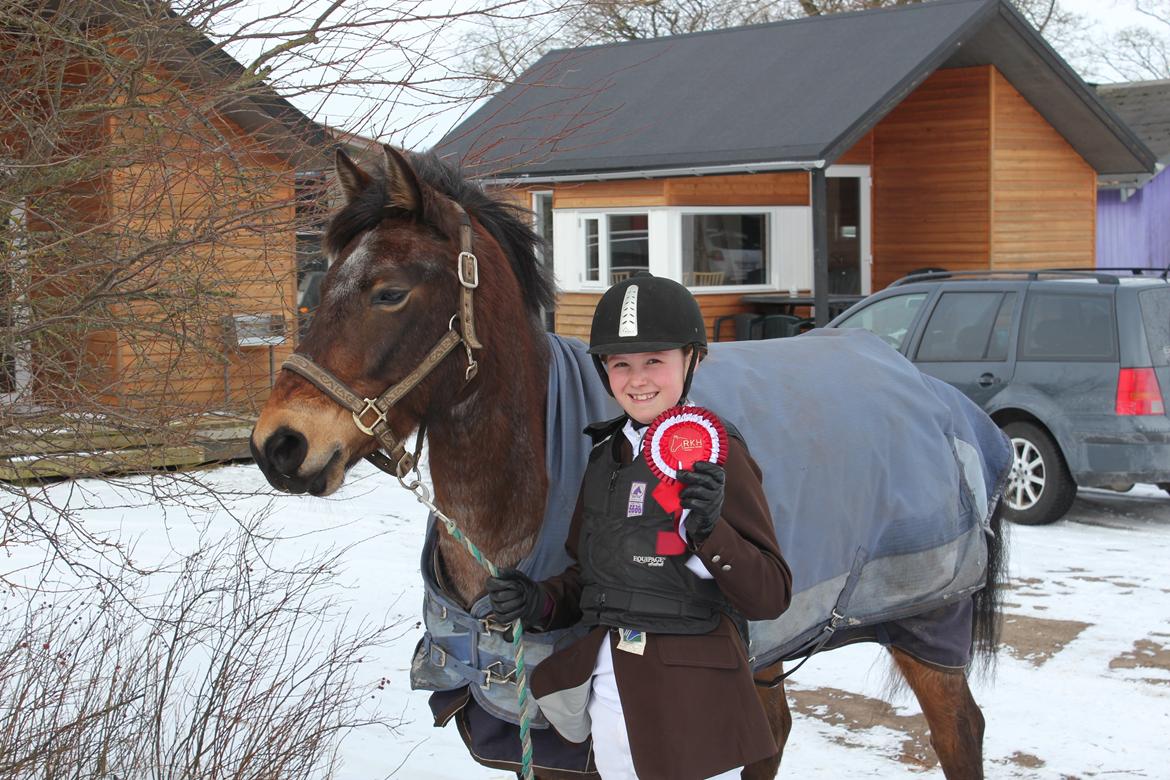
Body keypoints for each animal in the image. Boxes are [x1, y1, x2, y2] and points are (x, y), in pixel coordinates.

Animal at [251, 146, 1010, 780]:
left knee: (959, 732)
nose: (278, 445)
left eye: (389, 291)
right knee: (772, 733)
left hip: (928, 625)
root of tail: (940, 398)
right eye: (319, 284)